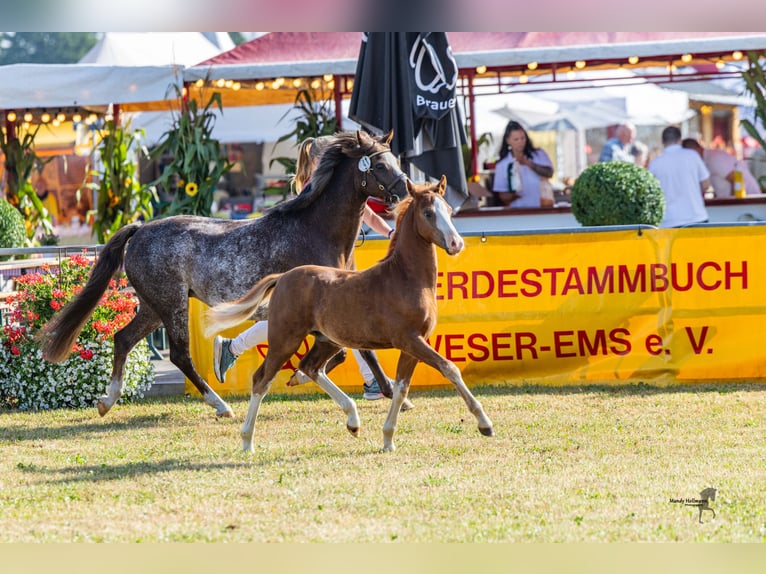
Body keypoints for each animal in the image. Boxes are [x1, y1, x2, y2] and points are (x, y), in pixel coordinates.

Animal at [38, 130, 410, 419]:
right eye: (378, 165)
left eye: (396, 160)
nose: (405, 192)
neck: (315, 229)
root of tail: (140, 229)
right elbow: (346, 351)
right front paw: (303, 378)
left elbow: (359, 350)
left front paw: (391, 394)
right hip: (172, 305)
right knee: (179, 354)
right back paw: (220, 405)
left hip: (153, 307)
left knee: (123, 339)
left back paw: (107, 400)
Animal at [206, 176, 495, 452]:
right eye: (428, 213)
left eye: (449, 210)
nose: (456, 243)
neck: (404, 278)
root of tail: (284, 277)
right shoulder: (409, 340)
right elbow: (449, 368)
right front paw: (485, 425)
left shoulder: (413, 344)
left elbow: (402, 388)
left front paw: (388, 439)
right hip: (285, 339)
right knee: (261, 379)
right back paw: (247, 441)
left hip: (326, 340)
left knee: (310, 368)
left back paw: (353, 421)